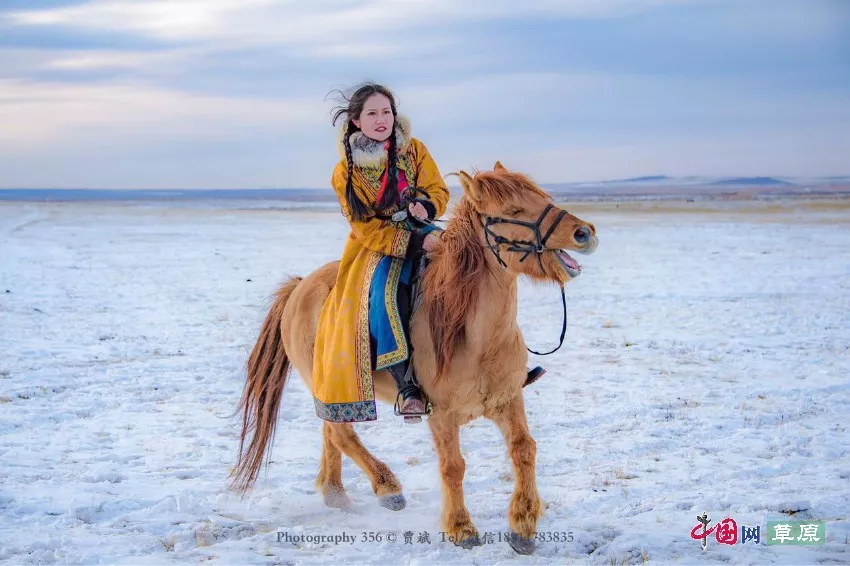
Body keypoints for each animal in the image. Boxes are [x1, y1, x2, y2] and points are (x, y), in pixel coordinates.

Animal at [229, 162, 592, 556]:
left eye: (543, 198)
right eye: (513, 210)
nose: (584, 232)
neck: (477, 337)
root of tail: (299, 287)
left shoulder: (508, 400)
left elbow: (524, 449)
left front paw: (523, 526)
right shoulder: (442, 414)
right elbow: (453, 466)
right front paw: (462, 529)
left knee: (331, 430)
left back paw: (335, 492)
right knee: (342, 433)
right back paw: (388, 489)